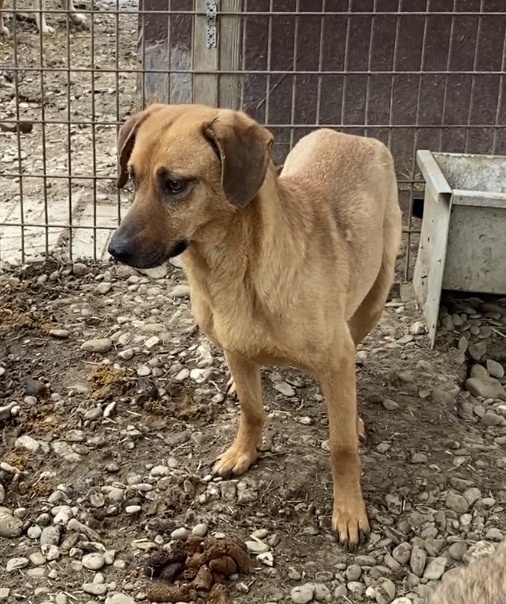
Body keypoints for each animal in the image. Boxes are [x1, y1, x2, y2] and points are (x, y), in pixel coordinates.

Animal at [108, 103, 403, 548]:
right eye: (133, 177)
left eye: (175, 184)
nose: (115, 250)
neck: (232, 273)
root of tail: (352, 136)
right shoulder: (234, 348)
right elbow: (251, 409)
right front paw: (242, 453)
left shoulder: (336, 360)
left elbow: (341, 447)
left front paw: (349, 510)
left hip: (373, 301)